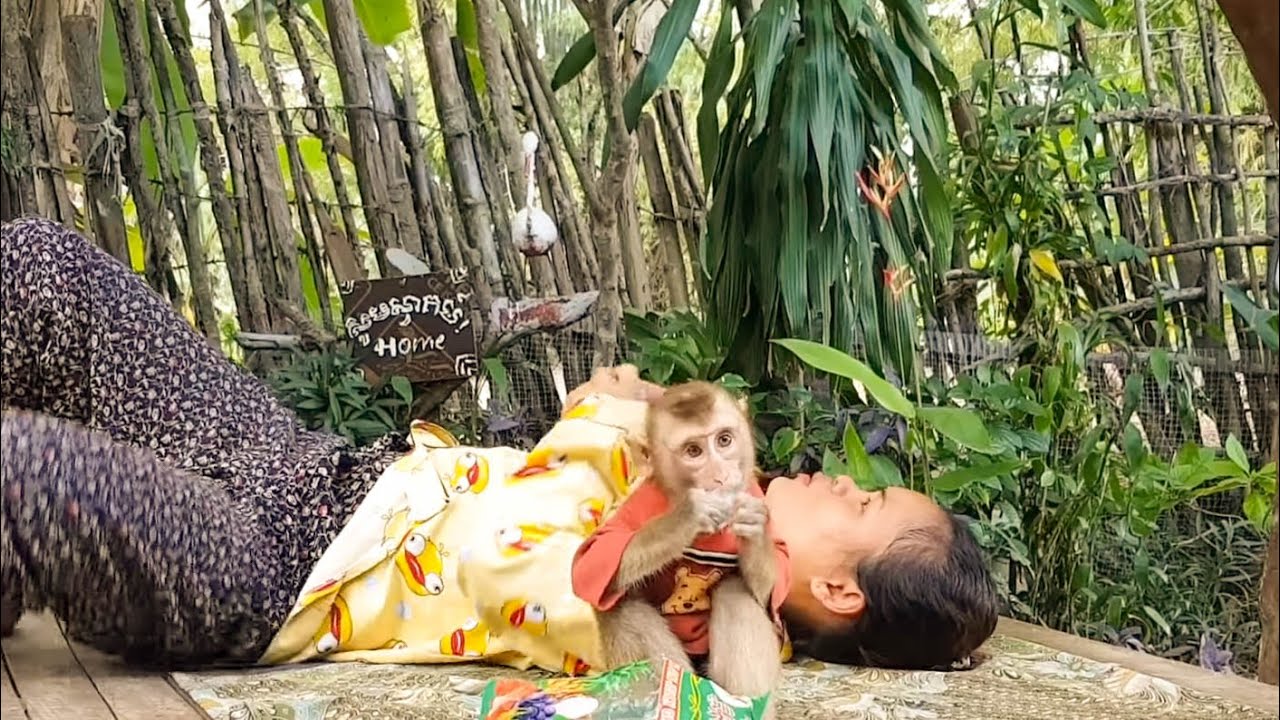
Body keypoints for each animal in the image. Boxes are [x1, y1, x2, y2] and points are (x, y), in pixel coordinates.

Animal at [571, 381, 785, 717]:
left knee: (736, 593)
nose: (721, 475)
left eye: (724, 440)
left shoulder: (753, 490)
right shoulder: (638, 504)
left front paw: (756, 527)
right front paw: (689, 514)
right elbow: (592, 556)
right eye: (693, 451)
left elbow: (769, 591)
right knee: (617, 603)